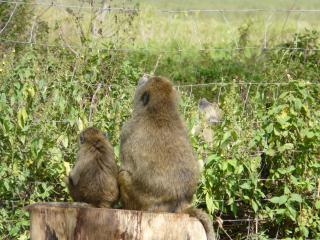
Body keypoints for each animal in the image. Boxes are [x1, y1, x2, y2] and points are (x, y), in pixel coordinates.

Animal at [118, 76, 215, 239]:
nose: (144, 76)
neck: (161, 110)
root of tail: (180, 204)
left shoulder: (127, 128)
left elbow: (124, 167)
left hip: (143, 204)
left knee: (123, 175)